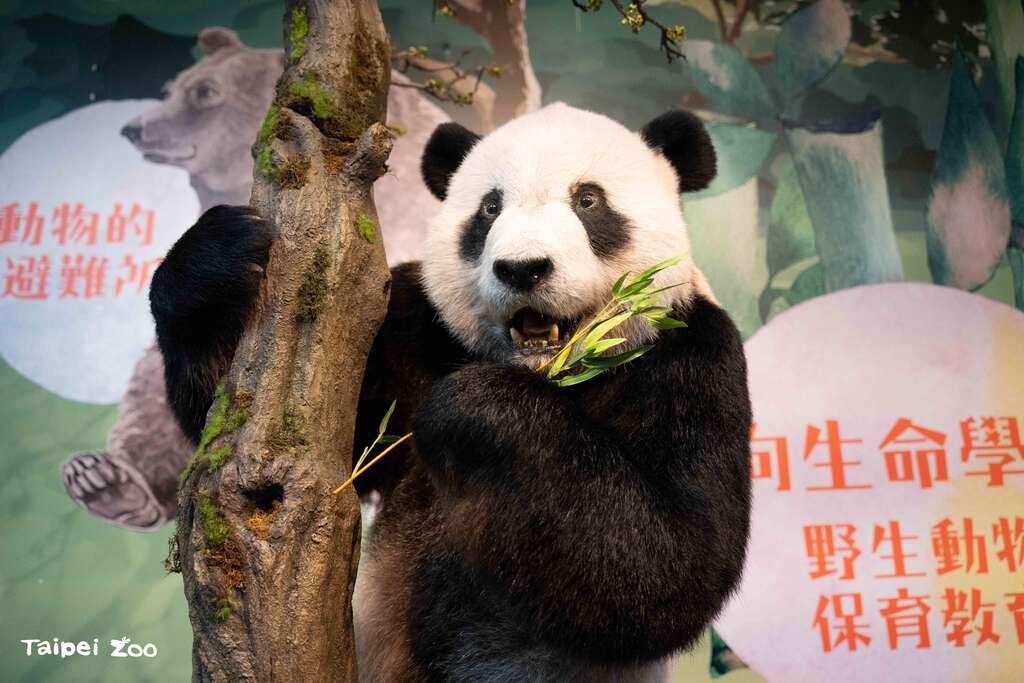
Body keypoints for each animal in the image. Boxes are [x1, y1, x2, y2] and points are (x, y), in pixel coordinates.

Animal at [62, 27, 448, 530]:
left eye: (204, 94)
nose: (133, 129)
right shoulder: (407, 330)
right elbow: (241, 421)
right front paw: (223, 246)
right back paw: (103, 480)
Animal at [149, 103, 751, 680]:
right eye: (489, 209)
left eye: (588, 200)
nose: (523, 269)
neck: (547, 372)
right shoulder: (418, 330)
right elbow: (262, 427)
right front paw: (218, 257)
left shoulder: (689, 359)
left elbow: (671, 561)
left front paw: (472, 408)